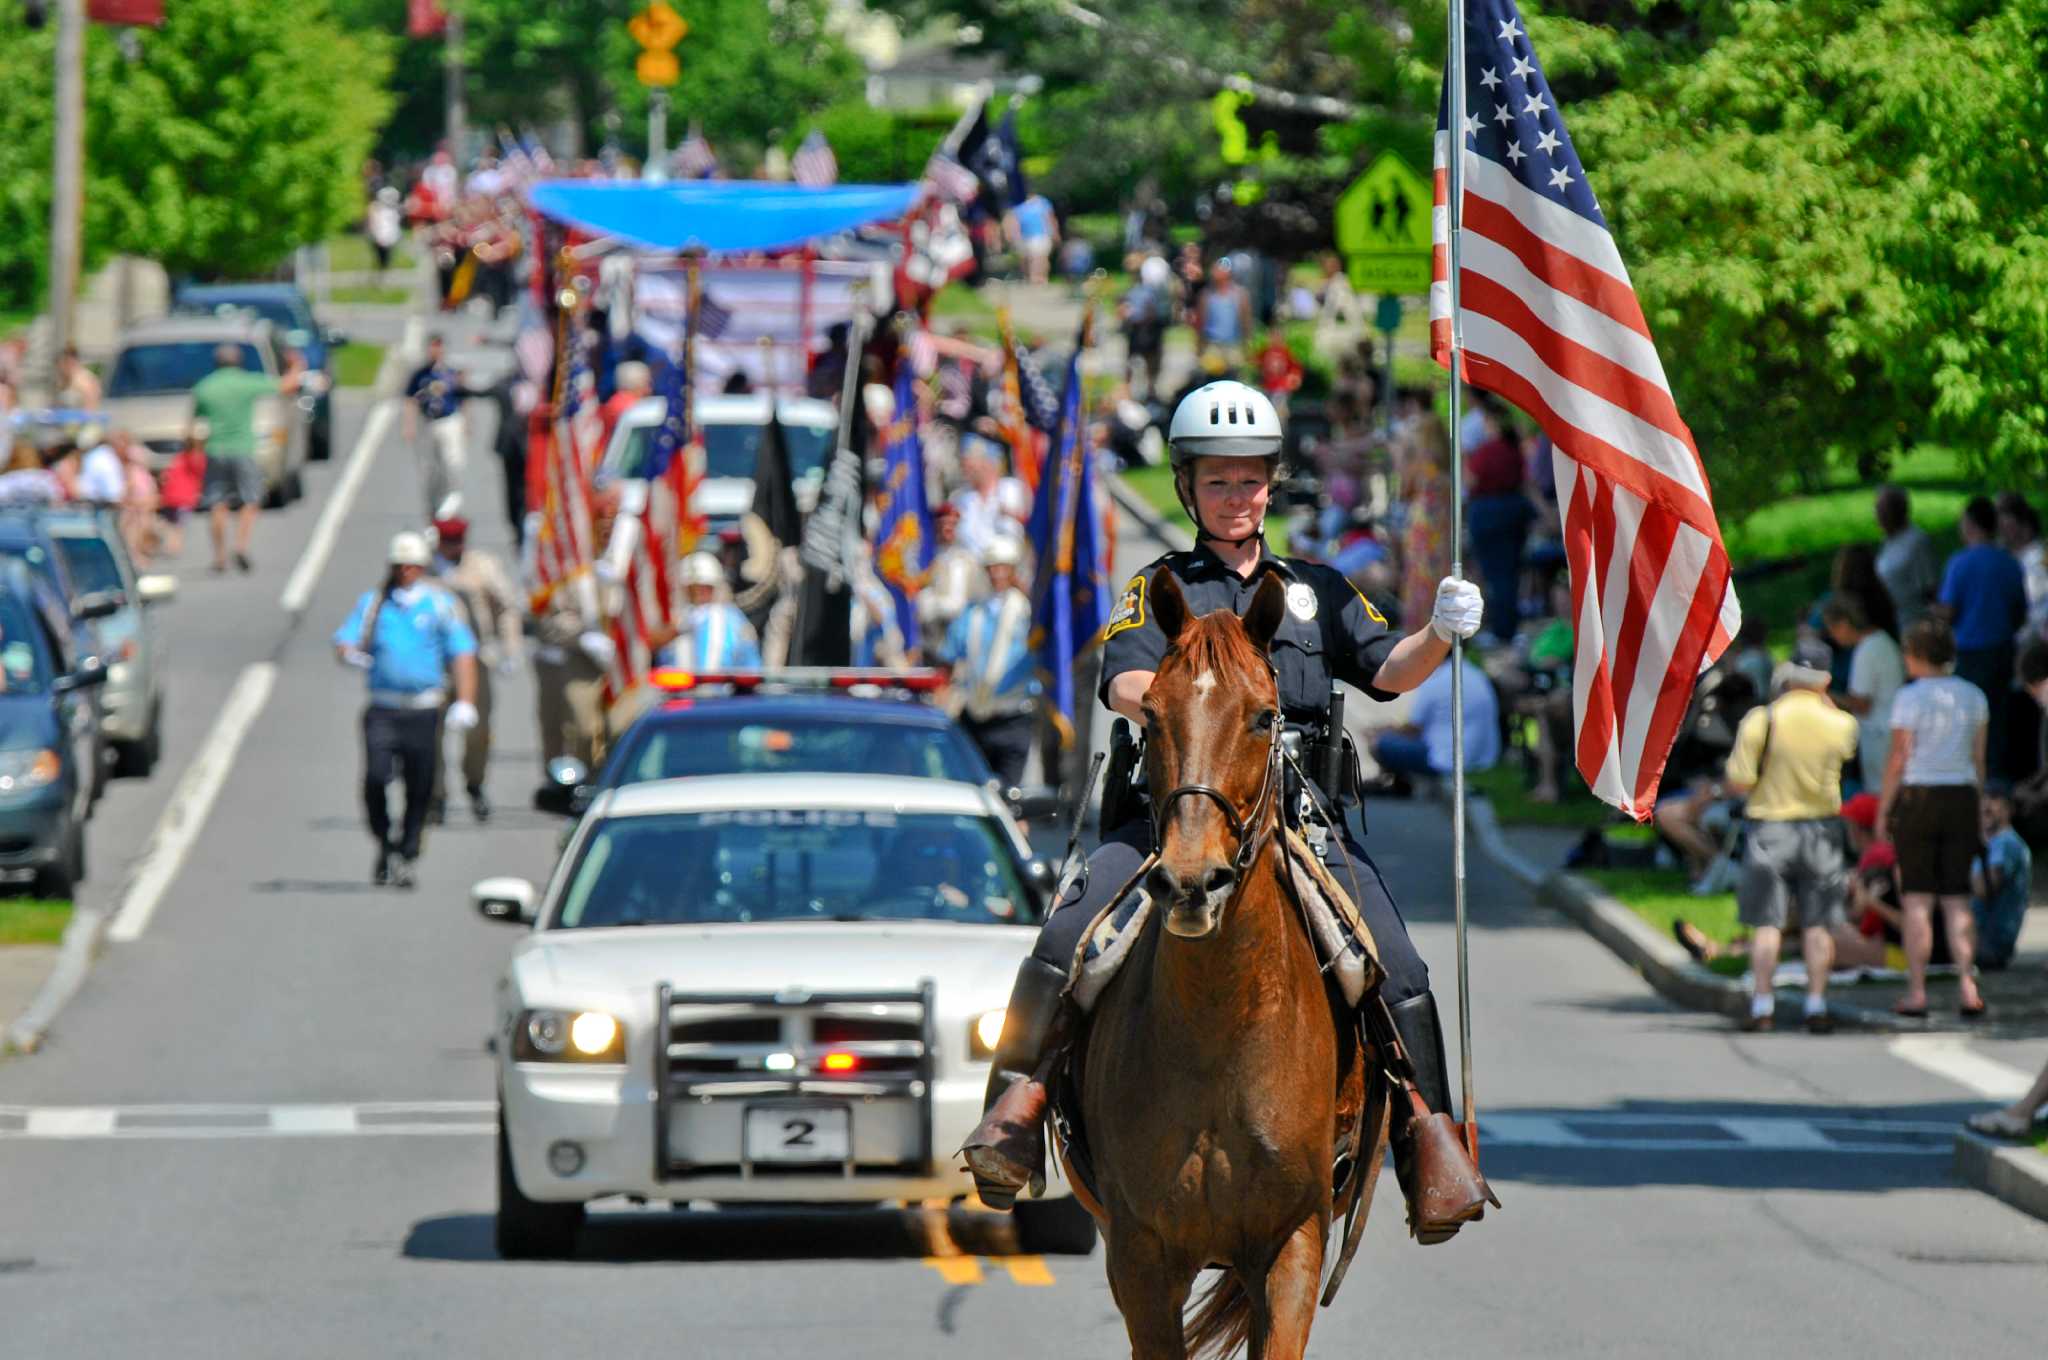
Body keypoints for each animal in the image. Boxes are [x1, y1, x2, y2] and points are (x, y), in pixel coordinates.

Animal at [1073, 569, 1376, 1351]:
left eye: (1266, 717)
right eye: (1150, 715)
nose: (1191, 881)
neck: (1220, 1021)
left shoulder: (1293, 1244)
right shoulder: (1140, 1259)